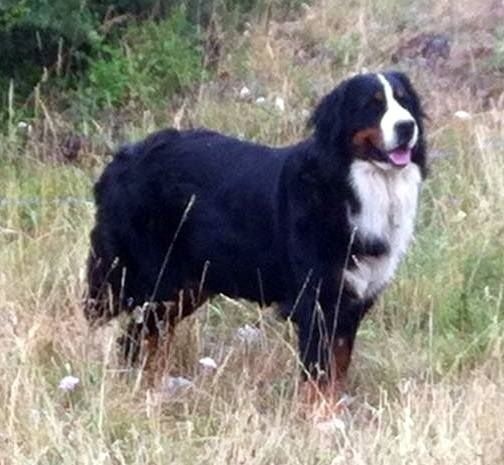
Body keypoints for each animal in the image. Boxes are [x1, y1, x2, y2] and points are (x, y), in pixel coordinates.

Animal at [84, 70, 428, 404]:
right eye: (372, 105)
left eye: (404, 102)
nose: (407, 126)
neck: (358, 186)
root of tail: (123, 157)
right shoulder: (317, 302)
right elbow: (318, 376)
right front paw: (318, 416)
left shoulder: (351, 304)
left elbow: (337, 368)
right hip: (151, 278)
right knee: (125, 332)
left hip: (184, 286)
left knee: (142, 337)